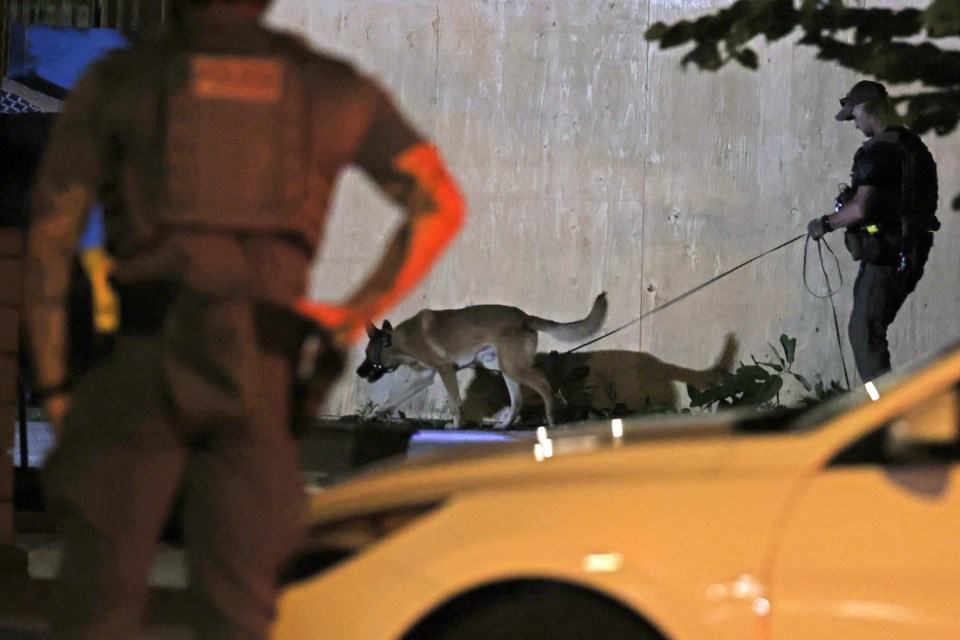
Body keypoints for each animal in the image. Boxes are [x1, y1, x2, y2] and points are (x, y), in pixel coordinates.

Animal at [356, 292, 612, 428]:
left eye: (367, 354)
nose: (358, 372)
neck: (397, 341)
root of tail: (525, 317)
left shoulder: (445, 370)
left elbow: (456, 403)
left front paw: (456, 425)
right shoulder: (425, 378)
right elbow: (391, 400)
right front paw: (371, 416)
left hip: (512, 367)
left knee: (543, 383)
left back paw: (550, 419)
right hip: (504, 368)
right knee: (518, 400)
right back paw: (506, 425)